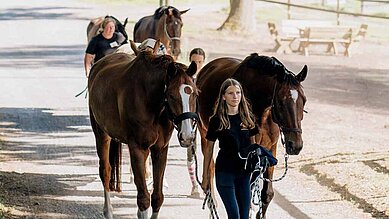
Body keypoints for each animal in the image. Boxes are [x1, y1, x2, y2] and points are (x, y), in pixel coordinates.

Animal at [87, 40, 199, 218]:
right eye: (172, 95)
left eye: (195, 93)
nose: (188, 136)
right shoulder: (138, 148)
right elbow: (144, 199)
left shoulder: (160, 149)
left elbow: (157, 197)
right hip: (101, 134)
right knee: (105, 171)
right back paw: (108, 211)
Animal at [196, 53, 308, 219]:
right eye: (281, 102)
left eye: (304, 100)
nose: (295, 145)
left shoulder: (270, 149)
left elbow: (266, 194)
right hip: (204, 132)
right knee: (209, 167)